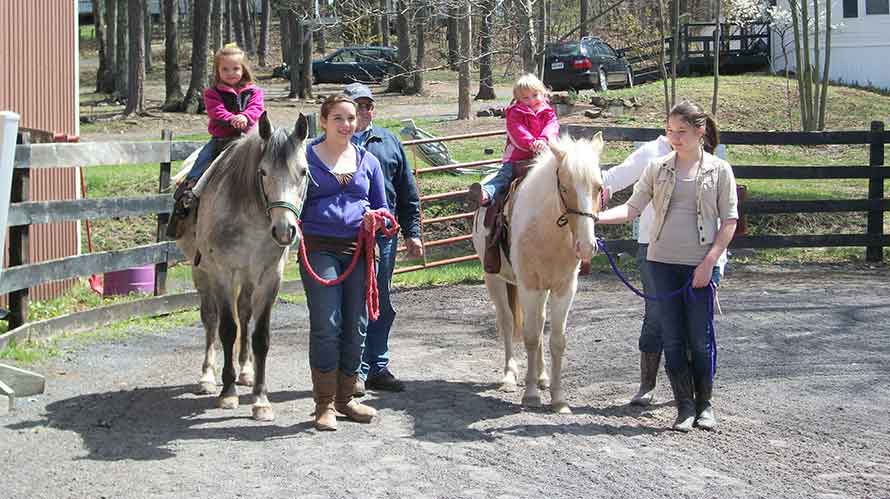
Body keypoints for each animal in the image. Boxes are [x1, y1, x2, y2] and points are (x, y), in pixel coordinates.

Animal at [175, 112, 310, 422]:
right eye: (263, 172)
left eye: (303, 172)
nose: (284, 231)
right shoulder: (222, 274)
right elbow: (227, 329)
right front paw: (228, 393)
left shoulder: (270, 277)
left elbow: (260, 336)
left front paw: (260, 400)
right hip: (202, 274)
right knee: (211, 319)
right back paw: (207, 377)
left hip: (249, 278)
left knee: (245, 314)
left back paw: (246, 371)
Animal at [472, 134, 604, 414]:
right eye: (564, 187)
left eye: (599, 187)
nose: (587, 246)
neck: (547, 231)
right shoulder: (529, 286)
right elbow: (530, 336)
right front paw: (531, 395)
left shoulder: (564, 288)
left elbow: (556, 340)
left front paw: (558, 398)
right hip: (495, 280)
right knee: (507, 321)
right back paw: (509, 376)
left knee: (540, 321)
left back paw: (542, 377)